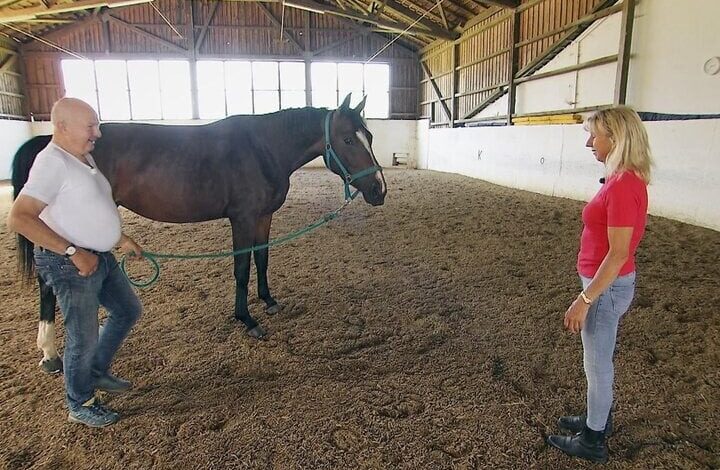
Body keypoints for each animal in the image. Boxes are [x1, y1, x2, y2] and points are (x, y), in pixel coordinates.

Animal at [11, 96, 386, 374]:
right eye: (348, 139)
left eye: (370, 137)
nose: (379, 191)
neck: (263, 148)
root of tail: (48, 143)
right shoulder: (242, 219)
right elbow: (241, 269)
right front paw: (247, 319)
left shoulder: (263, 217)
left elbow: (262, 260)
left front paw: (268, 301)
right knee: (49, 283)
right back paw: (50, 353)